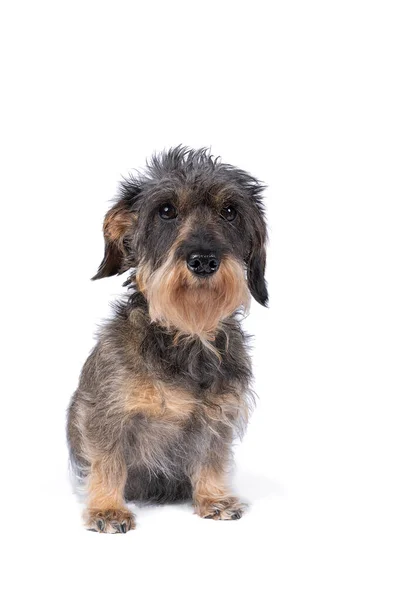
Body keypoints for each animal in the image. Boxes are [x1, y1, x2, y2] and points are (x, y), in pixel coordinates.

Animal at [67, 148, 268, 532]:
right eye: (166, 211)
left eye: (230, 211)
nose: (203, 260)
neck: (186, 336)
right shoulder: (107, 413)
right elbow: (108, 461)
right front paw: (107, 508)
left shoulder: (218, 416)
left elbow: (210, 458)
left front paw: (214, 498)